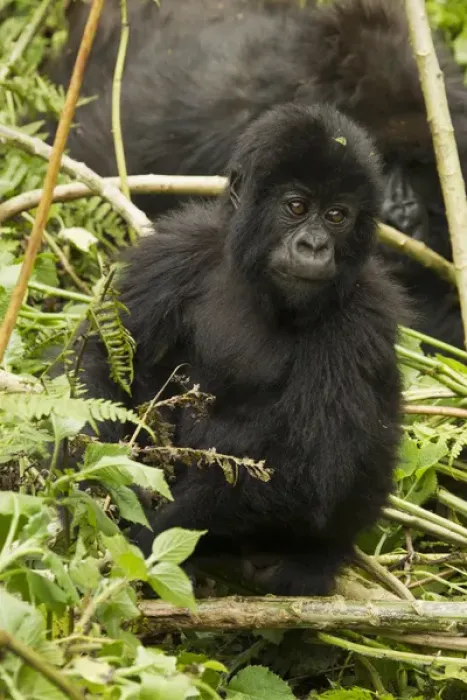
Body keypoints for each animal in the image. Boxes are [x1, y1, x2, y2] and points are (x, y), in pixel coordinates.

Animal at [77, 103, 405, 595]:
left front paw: (147, 534)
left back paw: (308, 563)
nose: (314, 245)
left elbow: (308, 465)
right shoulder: (176, 251)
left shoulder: (365, 319)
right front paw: (105, 477)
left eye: (337, 216)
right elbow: (103, 359)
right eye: (296, 207)